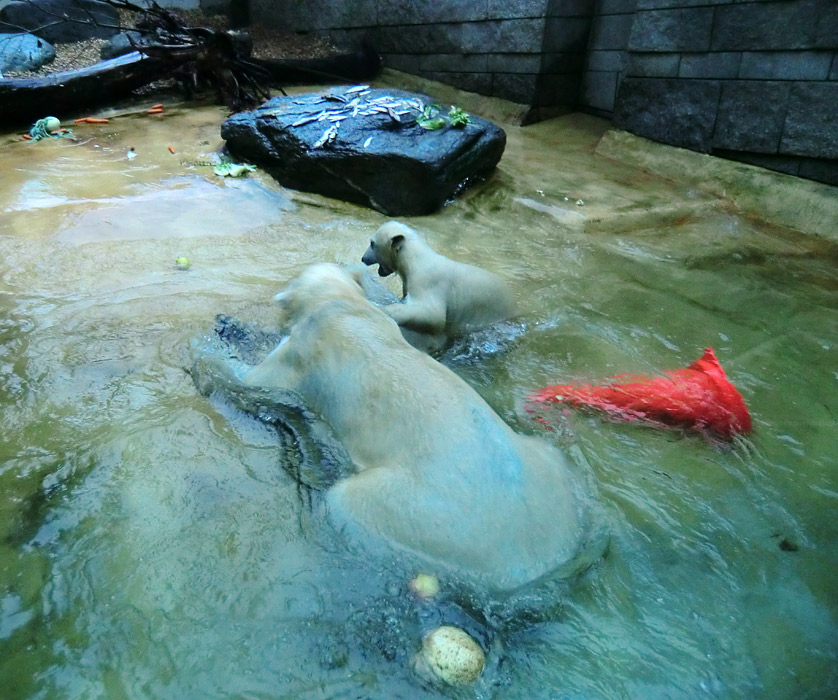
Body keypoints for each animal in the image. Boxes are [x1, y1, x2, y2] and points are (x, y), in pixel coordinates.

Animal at [194, 262, 600, 592]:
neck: (341, 307)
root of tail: (536, 562)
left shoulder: (300, 360)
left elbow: (251, 380)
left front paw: (217, 344)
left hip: (420, 512)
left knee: (346, 502)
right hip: (547, 467)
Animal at [362, 221, 520, 352]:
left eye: (372, 243)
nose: (363, 258)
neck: (415, 259)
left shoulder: (427, 282)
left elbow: (432, 313)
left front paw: (384, 309)